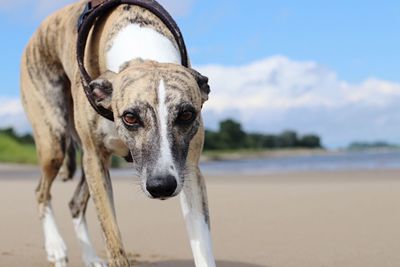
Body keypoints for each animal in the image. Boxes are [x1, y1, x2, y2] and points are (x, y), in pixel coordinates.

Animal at [19, 1, 216, 266]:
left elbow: (202, 248)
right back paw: (55, 247)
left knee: (74, 203)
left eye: (186, 115)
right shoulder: (95, 158)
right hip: (55, 142)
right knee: (41, 191)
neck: (144, 48)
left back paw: (90, 257)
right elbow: (114, 243)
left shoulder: (189, 170)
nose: (162, 186)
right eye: (130, 117)